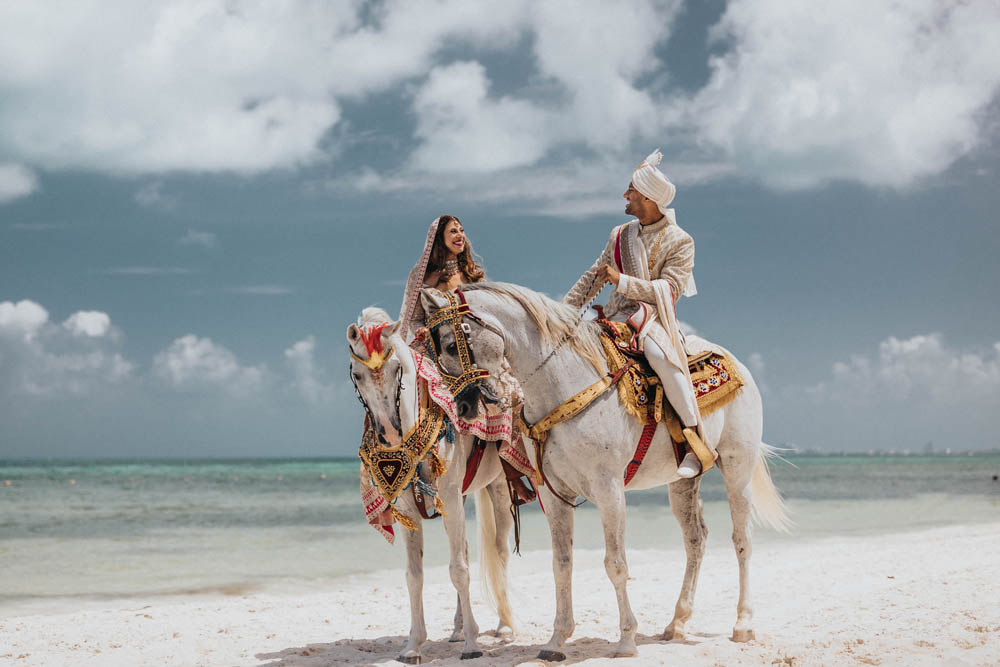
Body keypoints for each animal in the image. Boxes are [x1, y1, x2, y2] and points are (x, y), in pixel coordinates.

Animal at [348, 308, 516, 664]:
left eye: (397, 368)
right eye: (357, 375)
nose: (389, 433)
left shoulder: (449, 499)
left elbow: (459, 570)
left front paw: (472, 644)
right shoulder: (408, 510)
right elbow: (414, 576)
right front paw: (413, 645)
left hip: (498, 488)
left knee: (499, 550)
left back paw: (503, 626)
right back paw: (457, 629)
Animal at [418, 286, 784, 664]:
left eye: (451, 345)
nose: (463, 407)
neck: (563, 386)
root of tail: (740, 366)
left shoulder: (608, 490)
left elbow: (615, 563)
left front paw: (626, 640)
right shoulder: (554, 495)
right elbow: (561, 563)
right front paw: (556, 641)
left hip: (737, 468)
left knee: (742, 540)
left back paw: (743, 624)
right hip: (682, 483)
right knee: (696, 540)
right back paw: (677, 623)